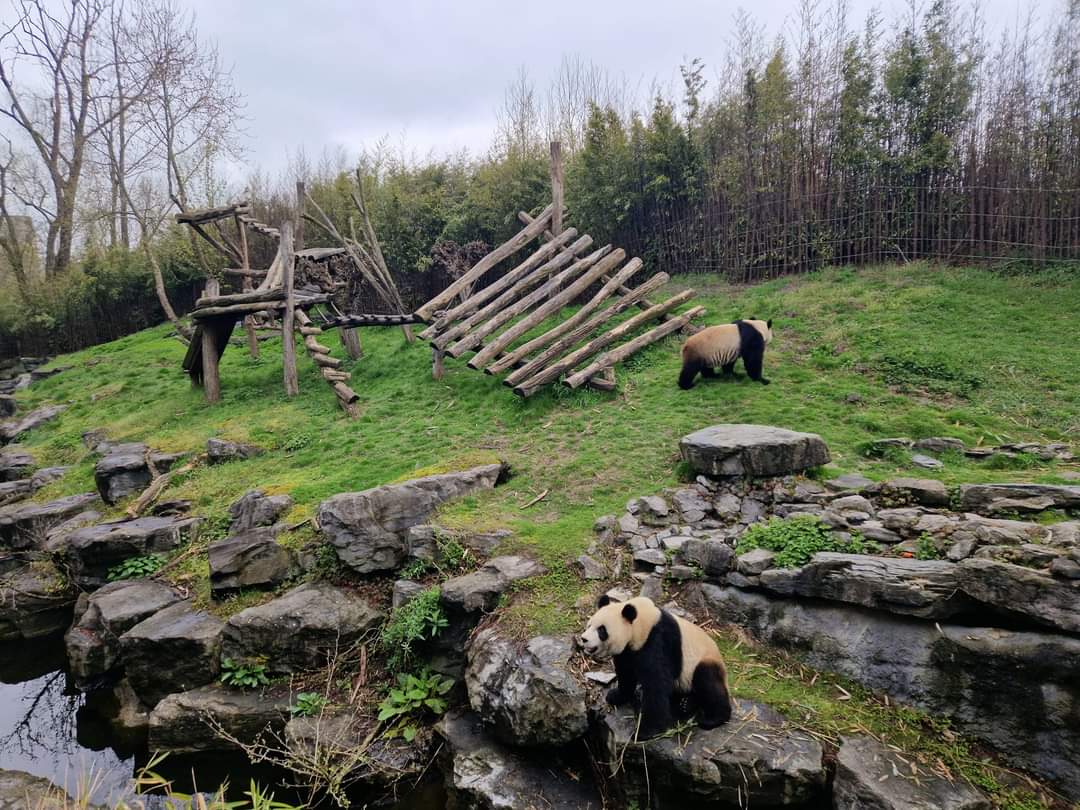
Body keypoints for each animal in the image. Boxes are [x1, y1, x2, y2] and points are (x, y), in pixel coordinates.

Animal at [579, 595, 732, 738]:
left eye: (601, 630)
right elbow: (626, 673)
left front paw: (645, 732)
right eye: (589, 625)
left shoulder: (658, 641)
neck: (642, 623)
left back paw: (713, 719)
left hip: (702, 661)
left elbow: (656, 683)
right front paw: (616, 696)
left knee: (707, 681)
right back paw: (685, 704)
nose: (584, 638)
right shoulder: (627, 651)